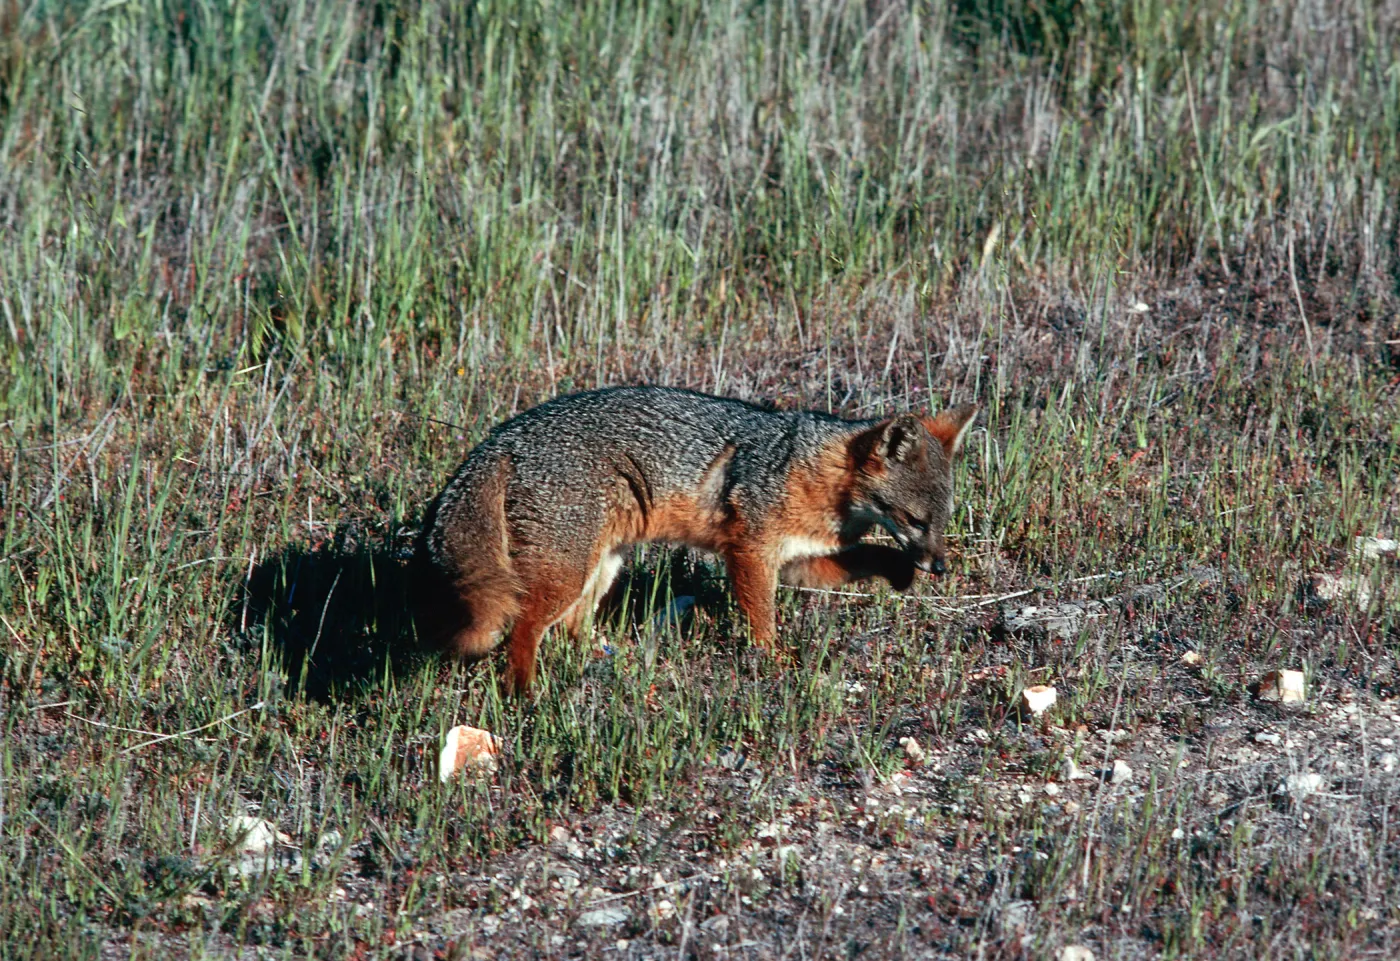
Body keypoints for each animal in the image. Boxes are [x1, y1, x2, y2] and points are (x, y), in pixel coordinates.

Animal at [413, 386, 977, 693]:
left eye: (942, 521)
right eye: (915, 519)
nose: (939, 566)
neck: (820, 476)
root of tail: (502, 436)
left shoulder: (801, 559)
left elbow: (865, 555)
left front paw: (899, 571)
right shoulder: (750, 551)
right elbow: (761, 619)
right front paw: (774, 663)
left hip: (602, 564)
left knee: (572, 628)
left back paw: (605, 660)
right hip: (567, 572)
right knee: (524, 629)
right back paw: (526, 693)